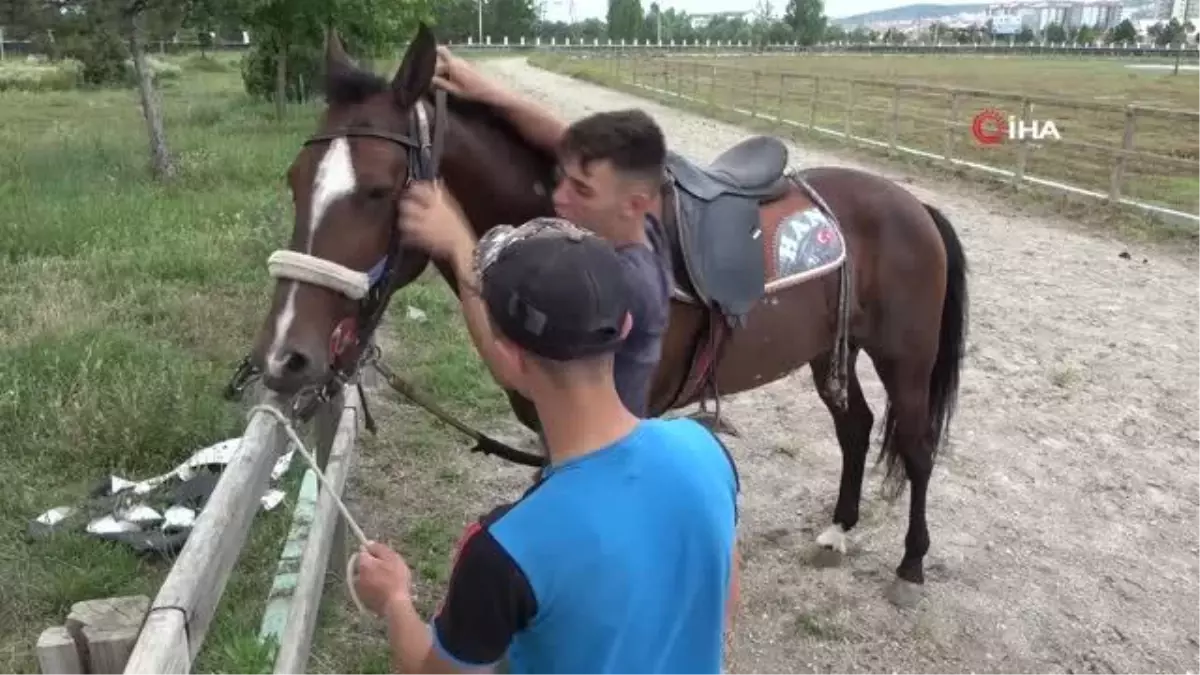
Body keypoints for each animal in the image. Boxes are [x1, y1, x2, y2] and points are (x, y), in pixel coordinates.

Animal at [243, 24, 964, 605]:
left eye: (379, 190)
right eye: (294, 180)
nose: (283, 355)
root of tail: (912, 204)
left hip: (905, 357)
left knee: (917, 445)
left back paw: (910, 566)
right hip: (829, 350)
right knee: (856, 426)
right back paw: (838, 529)